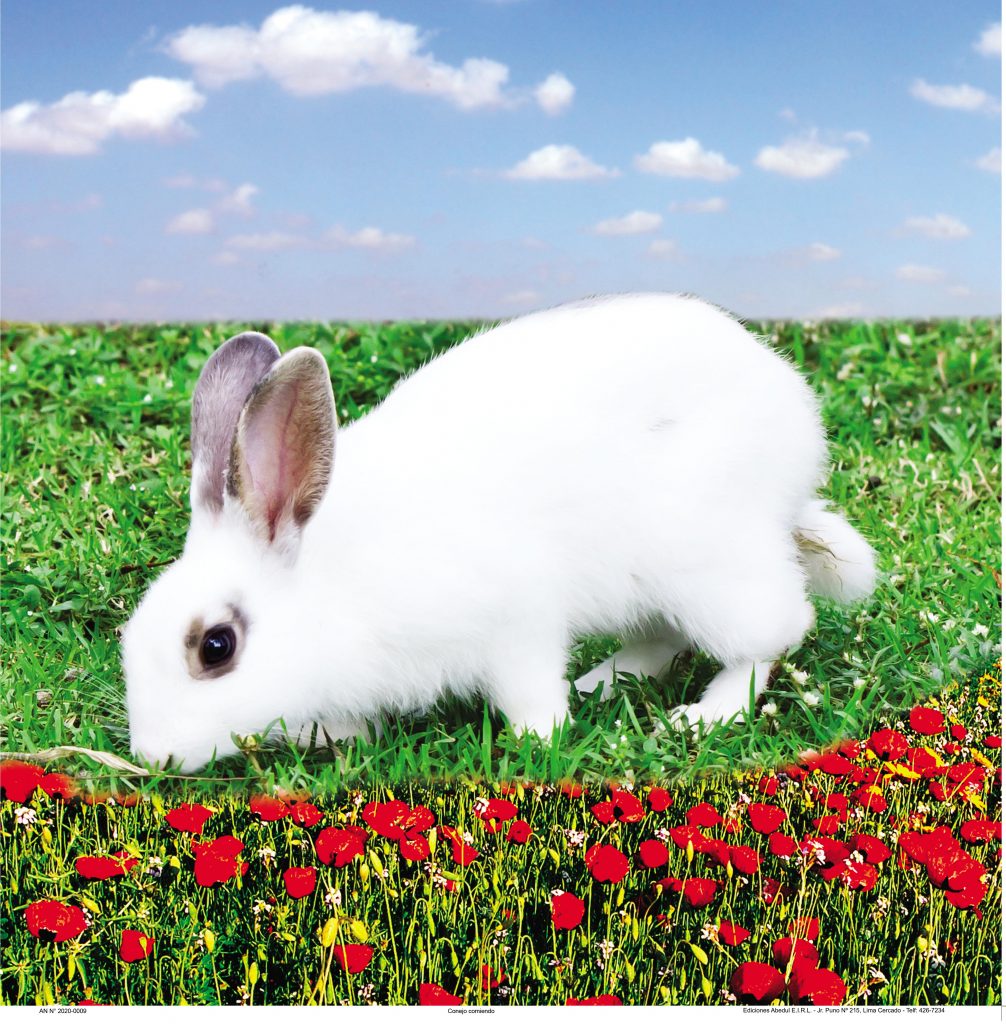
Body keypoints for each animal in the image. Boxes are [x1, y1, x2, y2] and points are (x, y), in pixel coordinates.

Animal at [122, 293, 876, 771]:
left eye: (216, 647)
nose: (152, 756)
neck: (327, 593)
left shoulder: (515, 624)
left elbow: (528, 692)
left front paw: (544, 740)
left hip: (710, 568)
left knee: (774, 633)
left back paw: (701, 714)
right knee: (661, 637)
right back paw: (603, 682)